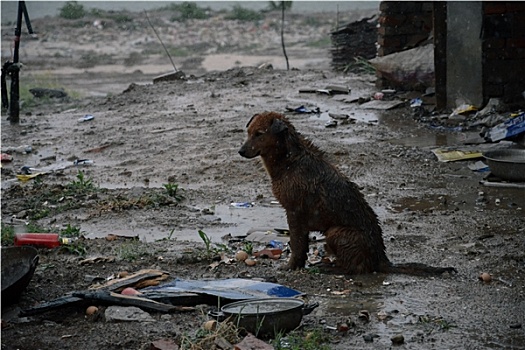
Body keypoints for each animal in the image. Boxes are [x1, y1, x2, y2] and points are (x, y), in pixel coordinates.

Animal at [237, 110, 454, 274]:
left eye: (259, 133)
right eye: (248, 132)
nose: (240, 151)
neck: (290, 160)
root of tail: (381, 258)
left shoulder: (294, 213)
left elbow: (297, 244)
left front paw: (290, 266)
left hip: (336, 232)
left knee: (356, 268)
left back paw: (331, 268)